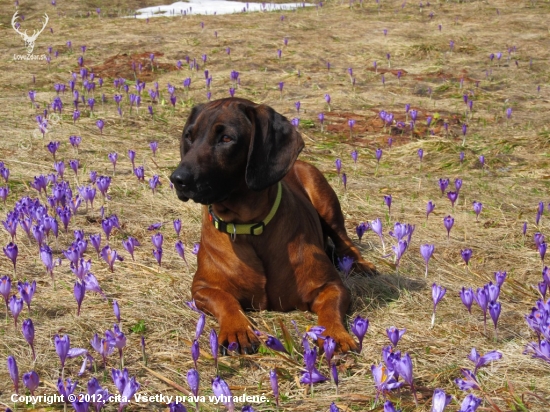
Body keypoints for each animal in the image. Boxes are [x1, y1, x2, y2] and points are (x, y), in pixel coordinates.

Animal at [170, 98, 378, 352]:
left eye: (226, 139)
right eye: (189, 136)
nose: (177, 179)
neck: (247, 227)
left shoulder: (330, 286)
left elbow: (330, 309)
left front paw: (334, 336)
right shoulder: (202, 287)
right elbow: (224, 299)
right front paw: (237, 329)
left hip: (323, 195)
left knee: (344, 241)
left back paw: (359, 263)